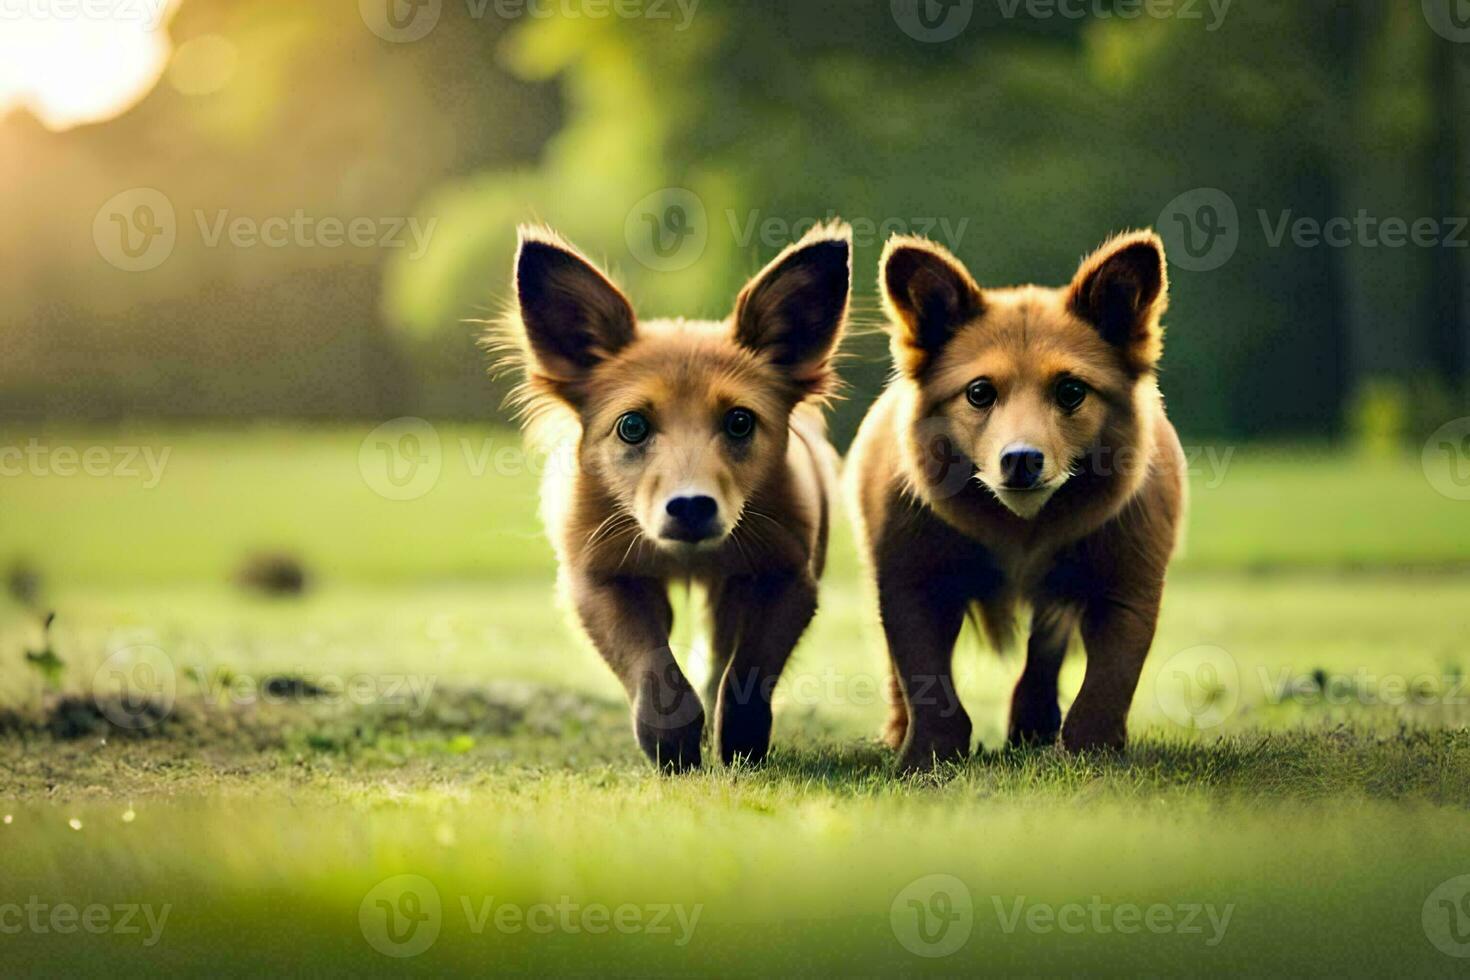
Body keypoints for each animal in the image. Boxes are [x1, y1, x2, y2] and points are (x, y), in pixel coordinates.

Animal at [502, 221, 852, 775]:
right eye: (631, 426)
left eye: (740, 421)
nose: (690, 506)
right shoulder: (598, 578)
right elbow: (651, 664)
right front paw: (672, 742)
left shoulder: (789, 579)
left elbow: (748, 671)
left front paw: (738, 741)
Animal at [852, 232, 1181, 775]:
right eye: (979, 392)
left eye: (1071, 390)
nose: (1021, 459)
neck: (1021, 530)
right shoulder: (911, 583)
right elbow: (926, 680)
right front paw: (925, 759)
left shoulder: (1126, 586)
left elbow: (1107, 683)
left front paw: (1092, 755)